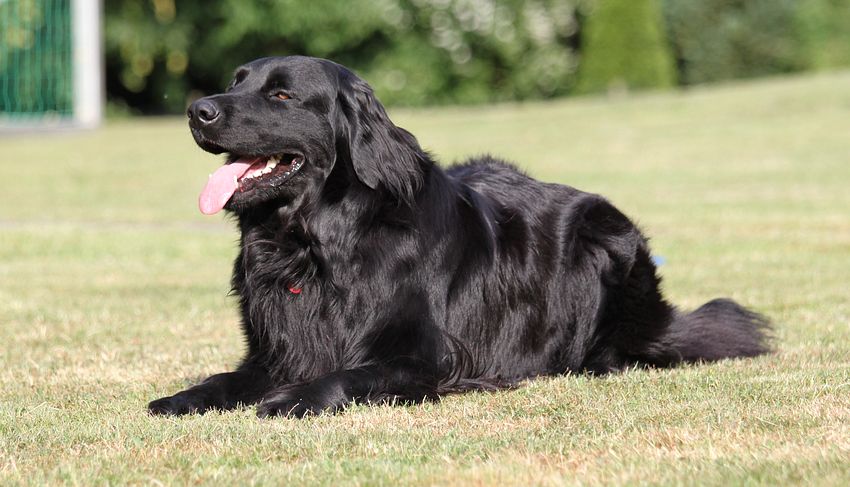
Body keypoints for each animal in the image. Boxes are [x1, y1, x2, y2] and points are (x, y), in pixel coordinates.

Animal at [148, 56, 772, 418]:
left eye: (280, 95)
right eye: (236, 84)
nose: (197, 110)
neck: (317, 248)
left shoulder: (430, 357)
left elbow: (347, 374)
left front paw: (295, 398)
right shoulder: (273, 351)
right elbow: (224, 378)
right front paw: (184, 397)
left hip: (605, 239)